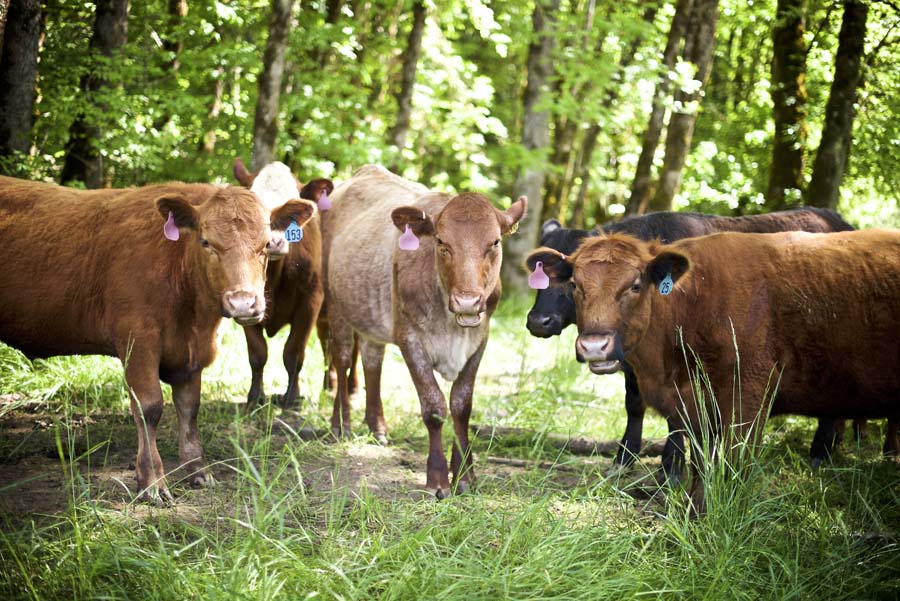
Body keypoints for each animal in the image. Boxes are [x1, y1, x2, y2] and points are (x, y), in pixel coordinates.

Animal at [0, 176, 316, 504]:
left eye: (266, 244)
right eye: (206, 242)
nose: (243, 303)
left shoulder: (193, 352)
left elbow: (189, 408)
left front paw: (197, 470)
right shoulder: (138, 341)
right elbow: (149, 408)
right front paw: (152, 481)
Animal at [324, 165, 528, 496]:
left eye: (495, 242)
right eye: (442, 242)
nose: (468, 301)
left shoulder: (480, 340)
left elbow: (461, 405)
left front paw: (465, 475)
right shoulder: (410, 338)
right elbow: (433, 406)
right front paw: (438, 478)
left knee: (372, 360)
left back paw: (377, 426)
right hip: (334, 301)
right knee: (341, 359)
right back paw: (340, 425)